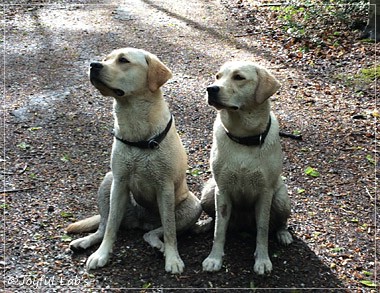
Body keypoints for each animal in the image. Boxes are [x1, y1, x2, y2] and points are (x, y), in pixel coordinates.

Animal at [69, 48, 203, 274]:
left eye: (123, 60)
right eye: (105, 59)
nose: (94, 65)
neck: (135, 125)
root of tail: (142, 222)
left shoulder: (165, 187)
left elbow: (170, 230)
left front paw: (173, 258)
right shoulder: (119, 182)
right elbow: (111, 227)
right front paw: (102, 254)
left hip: (193, 206)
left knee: (155, 232)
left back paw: (159, 245)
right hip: (108, 181)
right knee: (104, 225)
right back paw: (85, 242)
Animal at [200, 60, 292, 274]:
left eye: (239, 77)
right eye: (217, 76)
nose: (211, 89)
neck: (244, 138)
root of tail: (243, 225)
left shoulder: (265, 193)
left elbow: (263, 230)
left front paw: (263, 260)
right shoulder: (222, 190)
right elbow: (219, 231)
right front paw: (214, 258)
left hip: (281, 198)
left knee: (280, 222)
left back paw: (283, 234)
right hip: (208, 191)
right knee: (217, 220)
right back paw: (205, 224)